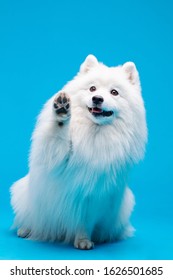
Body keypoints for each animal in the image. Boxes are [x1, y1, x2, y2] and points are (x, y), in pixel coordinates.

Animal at [10, 54, 147, 249]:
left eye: (114, 92)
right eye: (92, 88)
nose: (97, 98)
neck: (94, 131)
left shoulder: (92, 197)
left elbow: (84, 223)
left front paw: (83, 241)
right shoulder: (58, 155)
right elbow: (58, 132)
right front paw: (62, 112)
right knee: (32, 217)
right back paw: (26, 229)